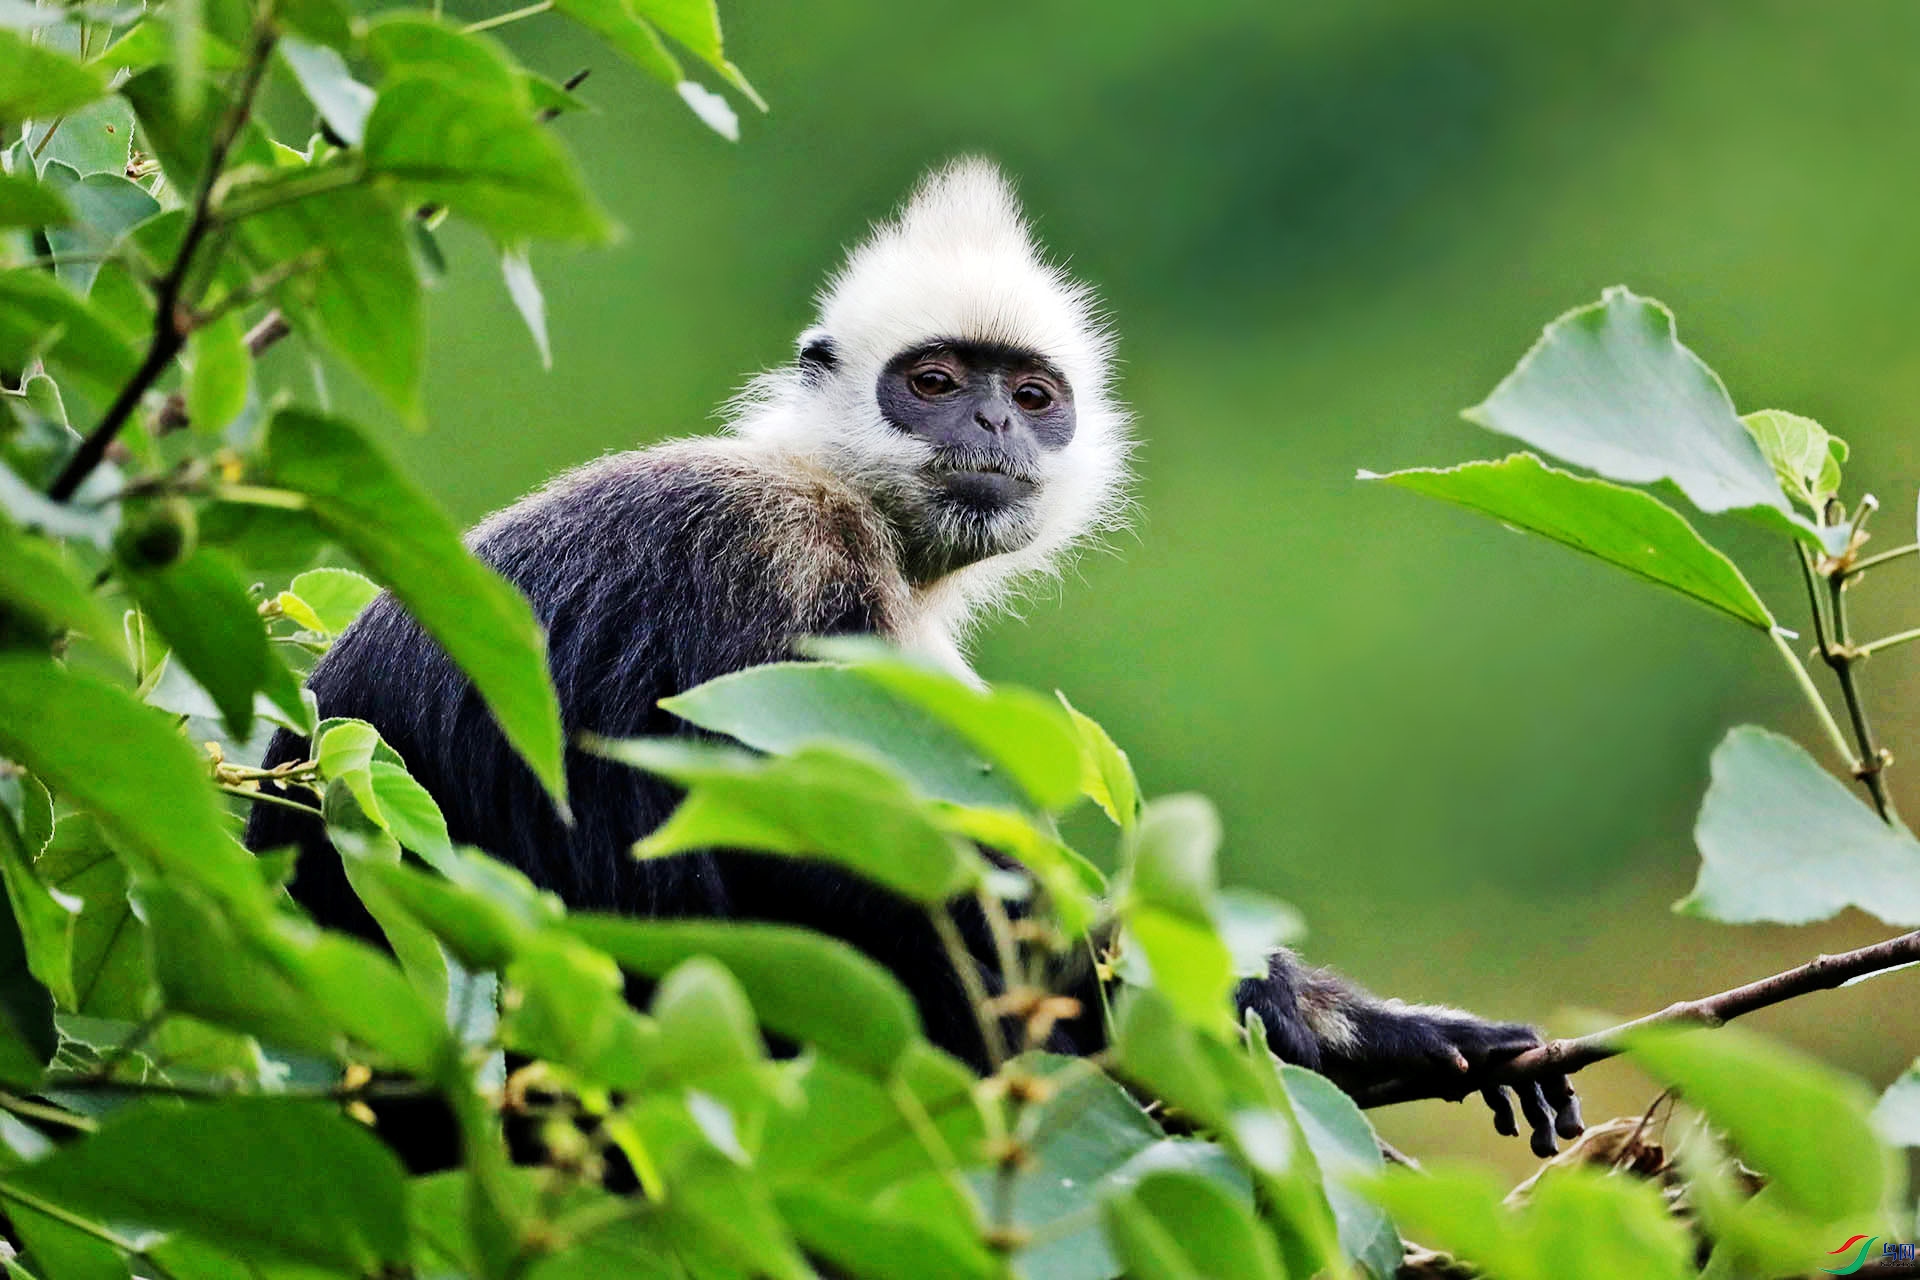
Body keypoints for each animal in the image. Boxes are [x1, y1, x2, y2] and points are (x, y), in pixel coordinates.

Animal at [247, 160, 1582, 1159]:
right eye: (933, 382)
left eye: (1031, 395)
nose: (990, 421)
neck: (844, 496)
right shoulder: (782, 569)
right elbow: (860, 871)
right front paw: (1289, 1007)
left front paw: (1381, 1027)